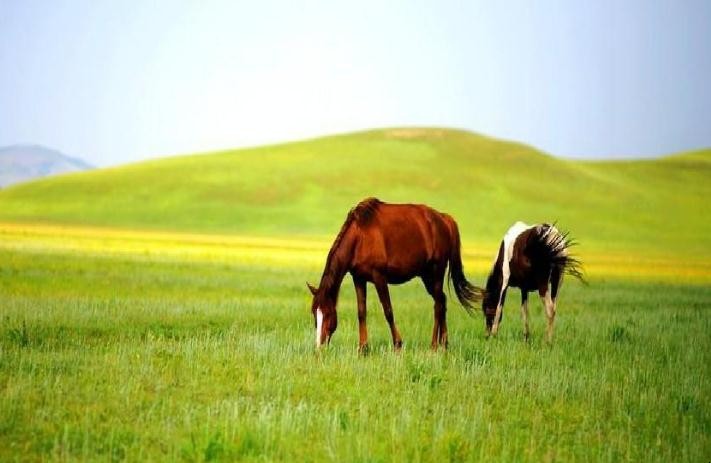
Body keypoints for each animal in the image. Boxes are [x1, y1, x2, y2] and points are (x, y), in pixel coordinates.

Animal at [306, 198, 484, 354]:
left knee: (438, 305)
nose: (319, 347)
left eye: (328, 313)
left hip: (436, 272)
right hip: (426, 276)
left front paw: (397, 345)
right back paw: (444, 344)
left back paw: (434, 346)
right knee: (442, 301)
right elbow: (361, 312)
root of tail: (444, 219)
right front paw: (363, 349)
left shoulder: (379, 277)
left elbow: (388, 311)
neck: (360, 237)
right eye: (314, 313)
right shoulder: (359, 279)